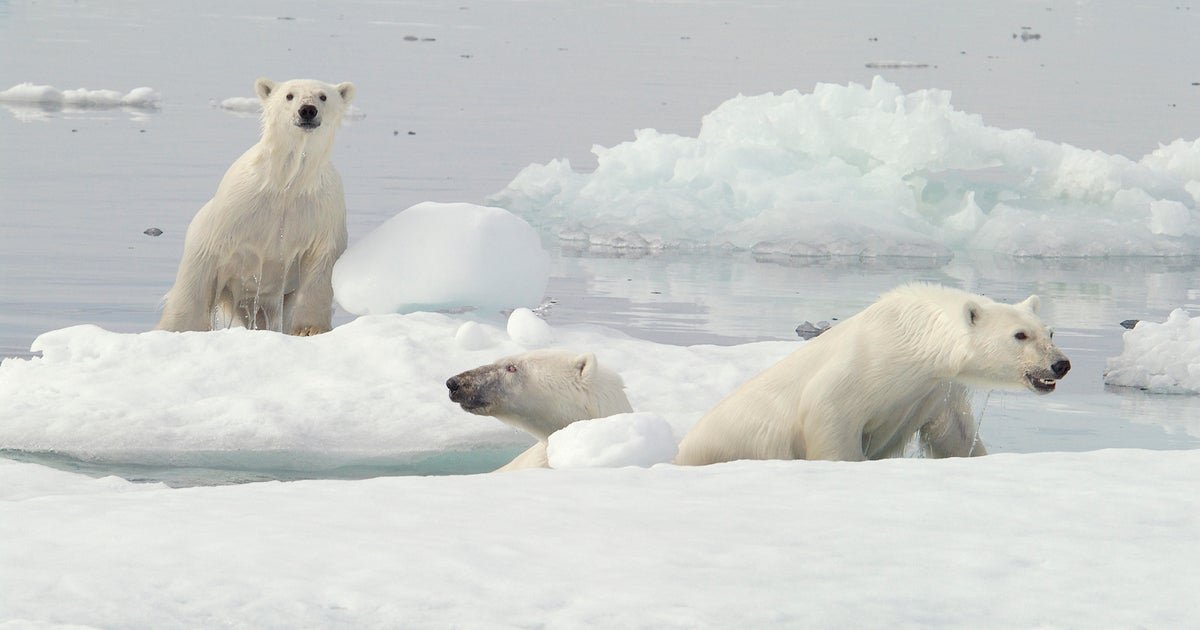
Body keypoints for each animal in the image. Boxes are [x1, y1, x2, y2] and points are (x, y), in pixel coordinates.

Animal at [156, 77, 356, 335]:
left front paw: (310, 329)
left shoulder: (321, 212)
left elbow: (321, 266)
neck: (286, 184)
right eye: (289, 95)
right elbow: (203, 263)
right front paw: (179, 328)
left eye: (323, 96)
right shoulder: (234, 211)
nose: (307, 110)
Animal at [674, 283, 1071, 465]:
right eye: (1020, 335)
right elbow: (829, 417)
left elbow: (954, 434)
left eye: (1049, 332)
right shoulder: (860, 369)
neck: (911, 339)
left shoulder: (935, 389)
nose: (1061, 365)